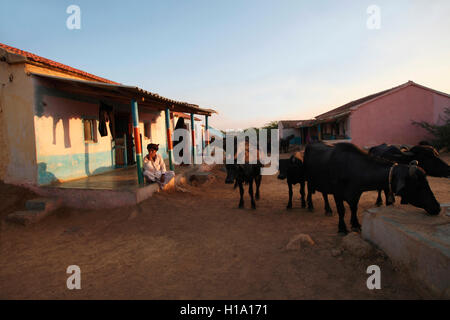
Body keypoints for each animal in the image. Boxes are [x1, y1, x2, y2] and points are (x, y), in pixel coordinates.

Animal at [302, 144, 440, 234]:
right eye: (418, 185)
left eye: (427, 182)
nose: (437, 207)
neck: (352, 168)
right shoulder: (338, 194)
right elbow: (342, 211)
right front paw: (342, 228)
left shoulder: (356, 193)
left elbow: (353, 208)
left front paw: (355, 224)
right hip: (309, 179)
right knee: (313, 192)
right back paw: (312, 206)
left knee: (324, 193)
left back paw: (328, 209)